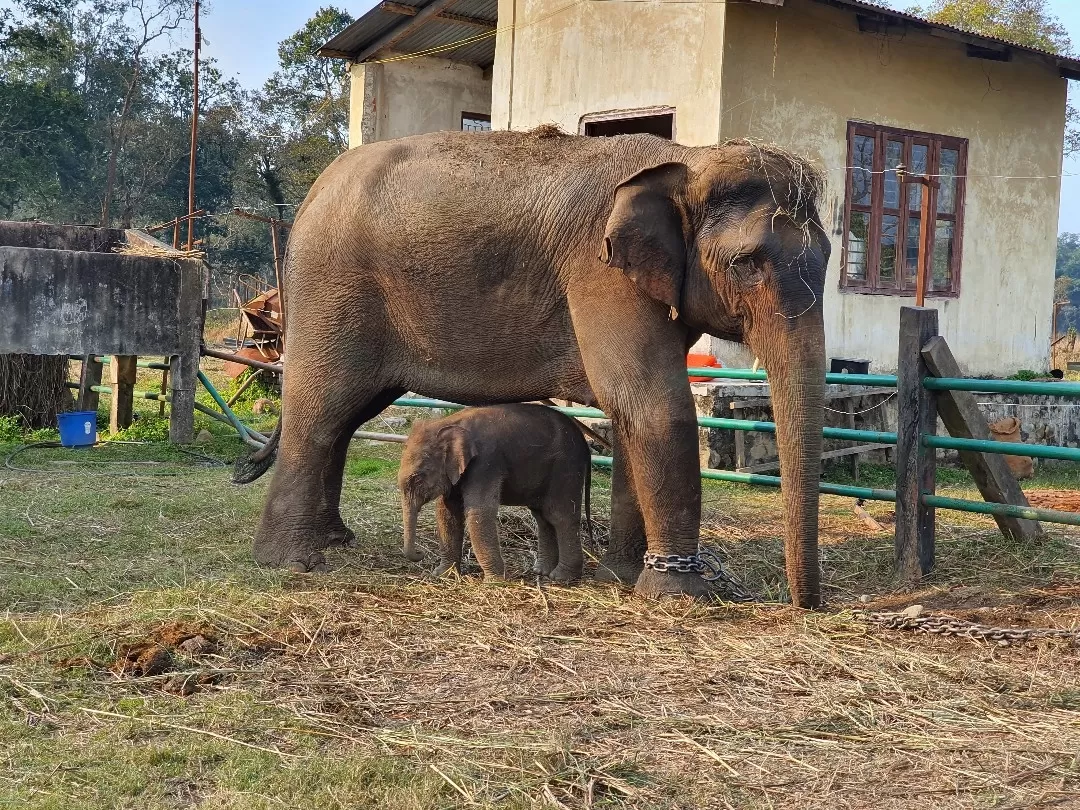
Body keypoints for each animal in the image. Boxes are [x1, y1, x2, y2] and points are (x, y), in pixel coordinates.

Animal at [401, 406, 596, 583]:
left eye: (417, 478)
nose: (420, 553)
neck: (447, 423)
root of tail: (585, 444)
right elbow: (447, 512)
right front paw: (443, 575)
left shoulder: (485, 463)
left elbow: (480, 512)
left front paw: (494, 582)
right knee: (542, 516)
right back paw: (541, 571)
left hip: (566, 468)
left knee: (560, 516)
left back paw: (561, 577)